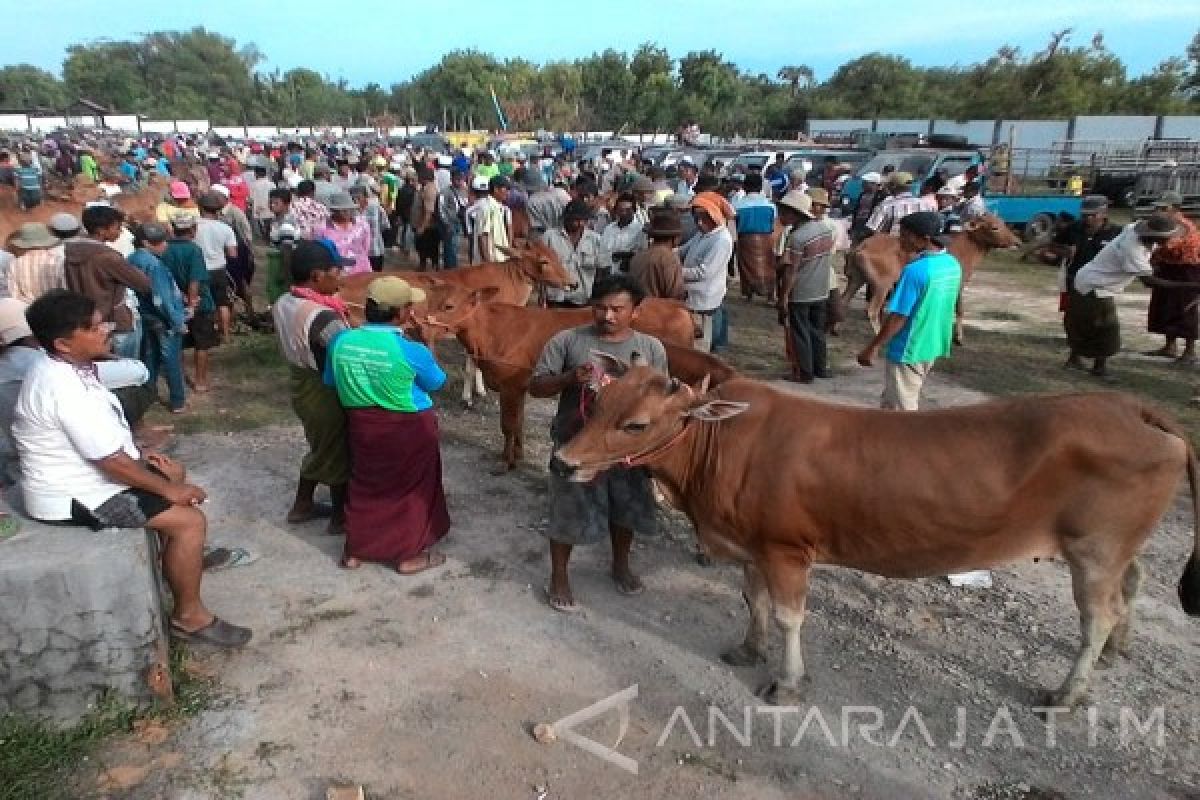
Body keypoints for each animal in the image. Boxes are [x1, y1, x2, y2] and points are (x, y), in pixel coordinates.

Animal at [427, 296, 700, 470]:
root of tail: (676, 305)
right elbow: (519, 423)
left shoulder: (510, 386)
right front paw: (517, 455)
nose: (422, 322)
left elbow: (508, 425)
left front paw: (506, 462)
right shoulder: (522, 386)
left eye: (448, 305)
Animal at [835, 214, 1022, 345]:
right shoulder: (959, 284)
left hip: (857, 279)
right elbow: (959, 309)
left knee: (843, 301)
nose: (1017, 242)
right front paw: (958, 338)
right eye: (994, 227)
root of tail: (860, 247)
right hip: (882, 284)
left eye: (1003, 222)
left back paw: (835, 329)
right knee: (871, 310)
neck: (965, 248)